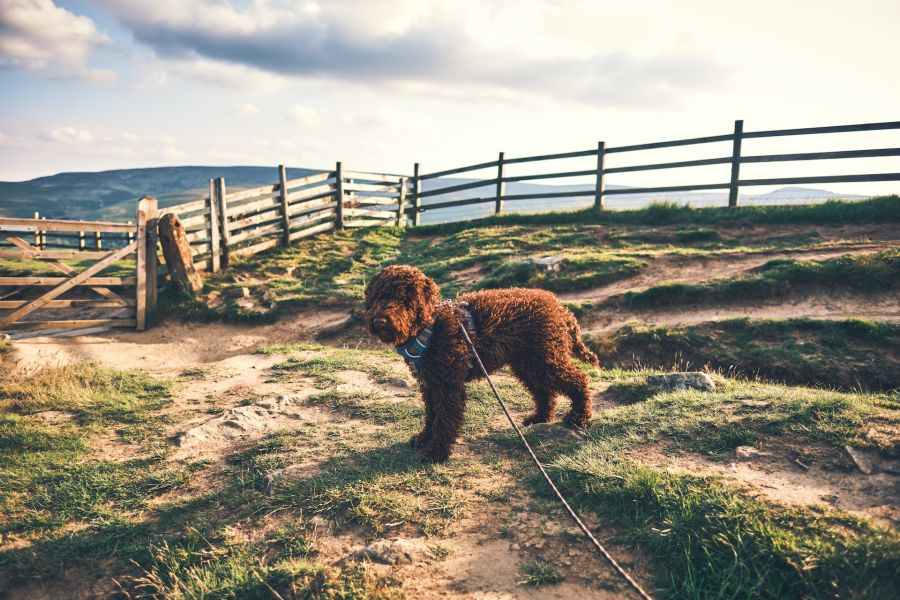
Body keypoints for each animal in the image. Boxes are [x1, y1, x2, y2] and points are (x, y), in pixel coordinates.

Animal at [366, 264, 596, 464]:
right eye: (376, 297)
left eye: (404, 298)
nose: (378, 321)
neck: (430, 326)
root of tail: (560, 308)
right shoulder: (431, 383)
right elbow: (432, 415)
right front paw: (424, 438)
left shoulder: (448, 385)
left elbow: (444, 419)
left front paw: (436, 452)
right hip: (529, 362)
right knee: (544, 391)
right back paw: (540, 417)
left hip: (545, 359)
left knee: (578, 380)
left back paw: (579, 417)